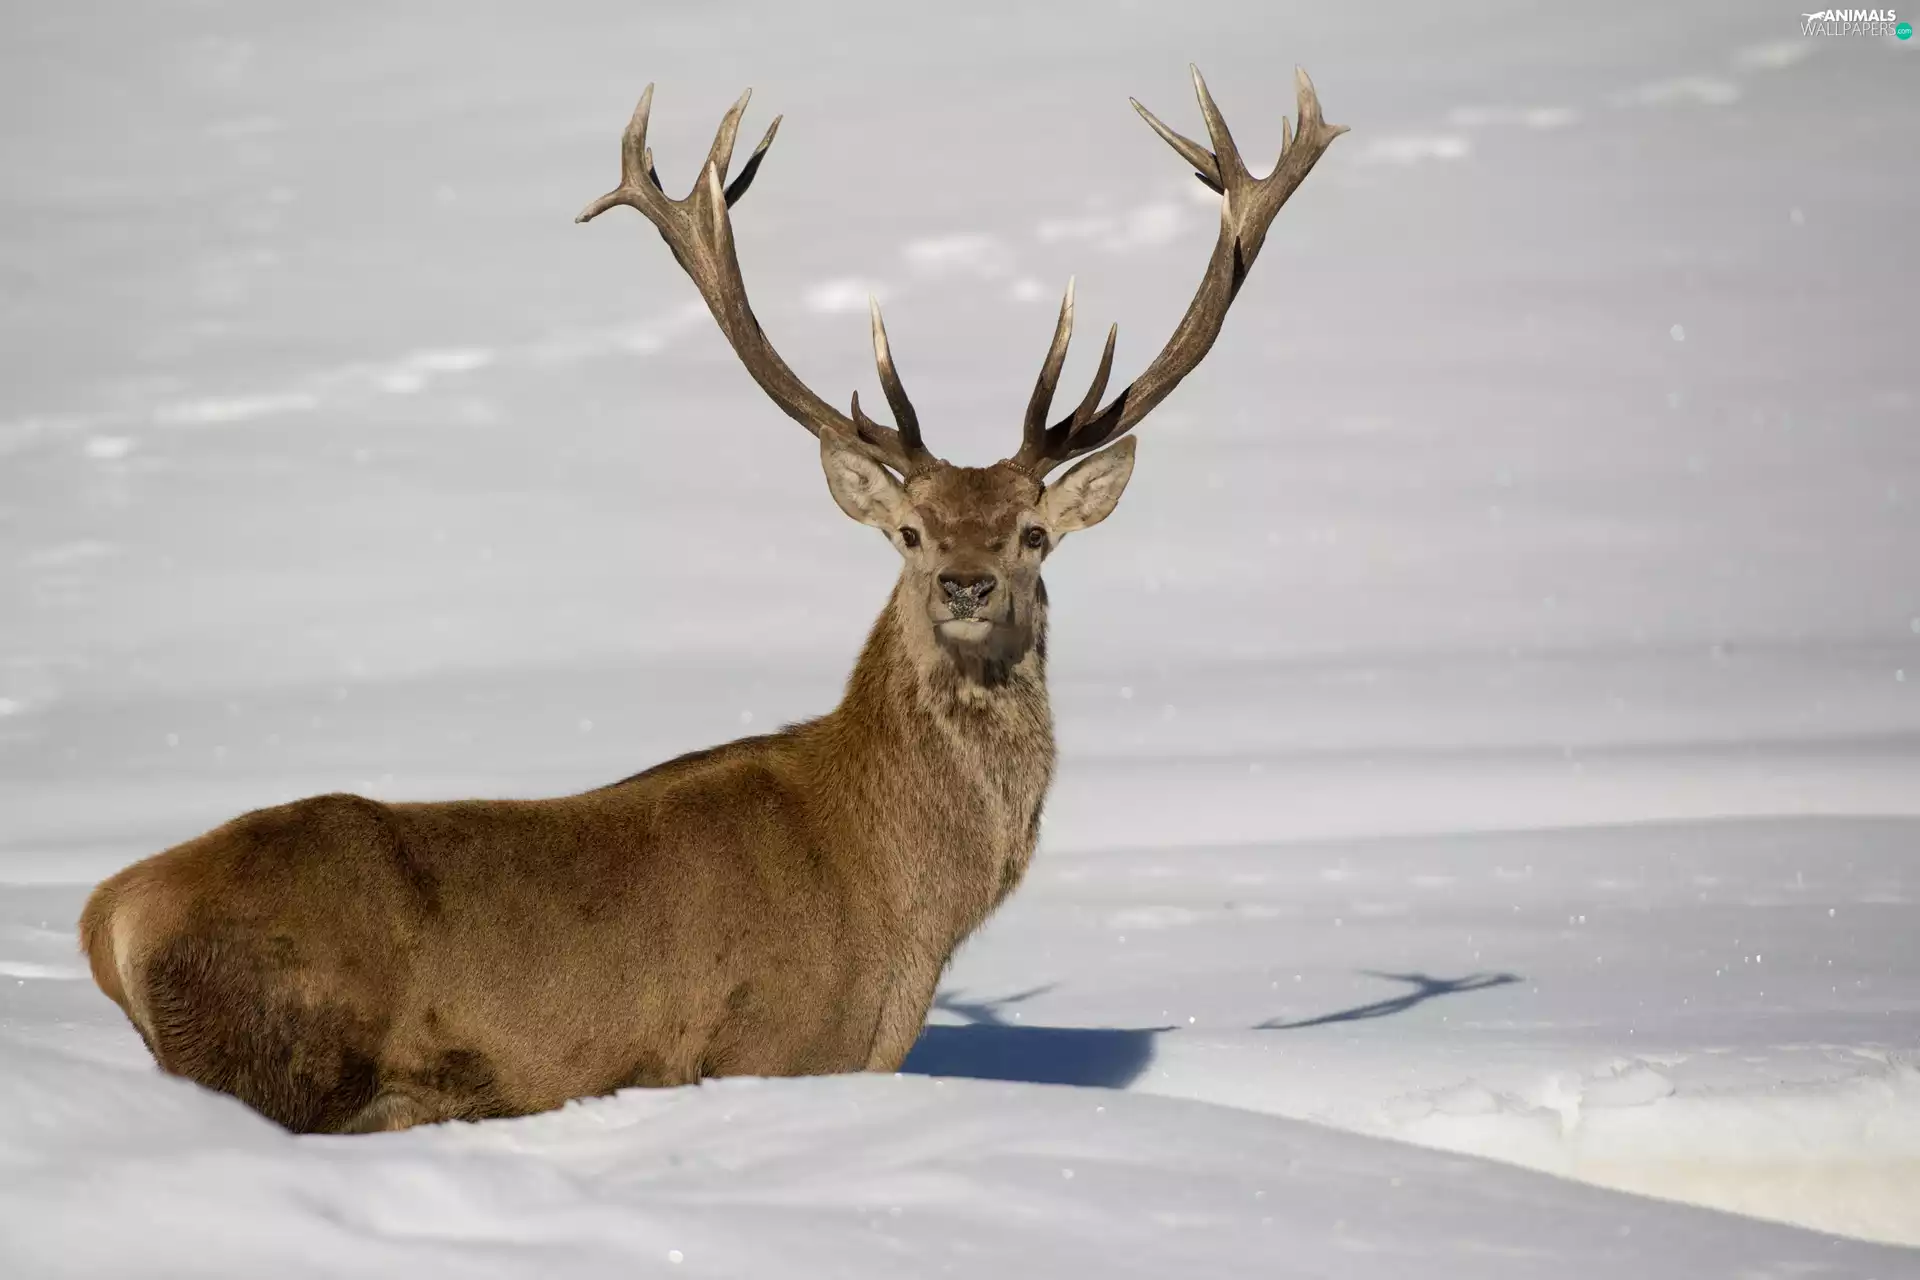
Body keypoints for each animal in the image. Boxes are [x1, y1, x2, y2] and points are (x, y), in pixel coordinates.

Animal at [77, 66, 1344, 1133]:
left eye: (1033, 533)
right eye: (910, 531)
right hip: (285, 1055)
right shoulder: (768, 1048)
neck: (904, 905)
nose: (968, 581)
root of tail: (108, 915)